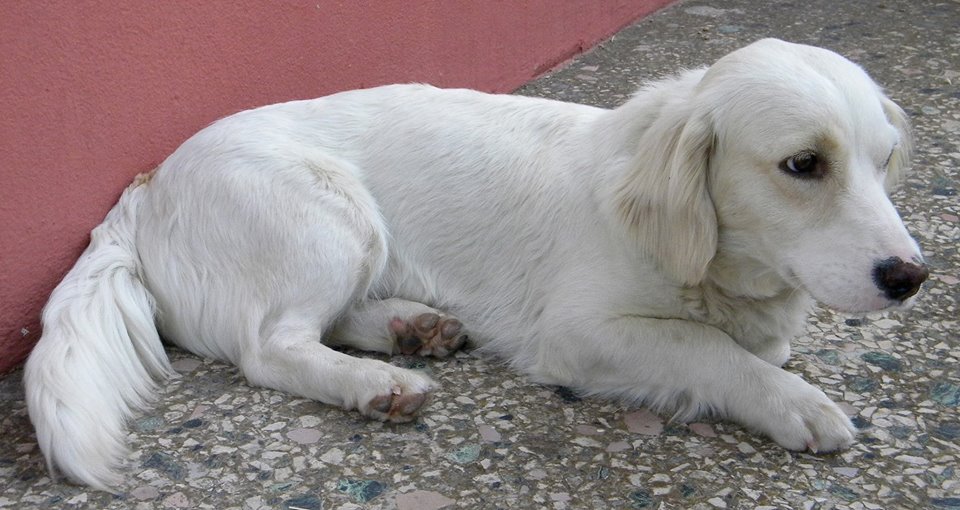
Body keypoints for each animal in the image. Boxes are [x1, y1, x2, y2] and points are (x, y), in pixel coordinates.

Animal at [24, 37, 928, 488]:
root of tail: (147, 183)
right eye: (803, 164)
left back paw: (410, 327)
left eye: (885, 160)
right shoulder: (579, 331)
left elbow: (755, 342)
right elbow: (709, 349)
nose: (911, 278)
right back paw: (376, 383)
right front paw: (796, 403)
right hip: (332, 218)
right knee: (270, 347)